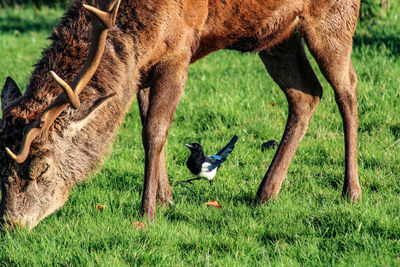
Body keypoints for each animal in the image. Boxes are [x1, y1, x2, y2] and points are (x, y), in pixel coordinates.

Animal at [0, 0, 362, 230]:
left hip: (335, 19)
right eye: (1, 167)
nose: (11, 224)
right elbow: (148, 124)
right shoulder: (143, 66)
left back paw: (351, 191)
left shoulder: (178, 50)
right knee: (306, 93)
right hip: (277, 35)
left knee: (348, 89)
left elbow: (154, 131)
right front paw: (167, 200)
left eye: (41, 168)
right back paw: (265, 193)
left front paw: (147, 212)